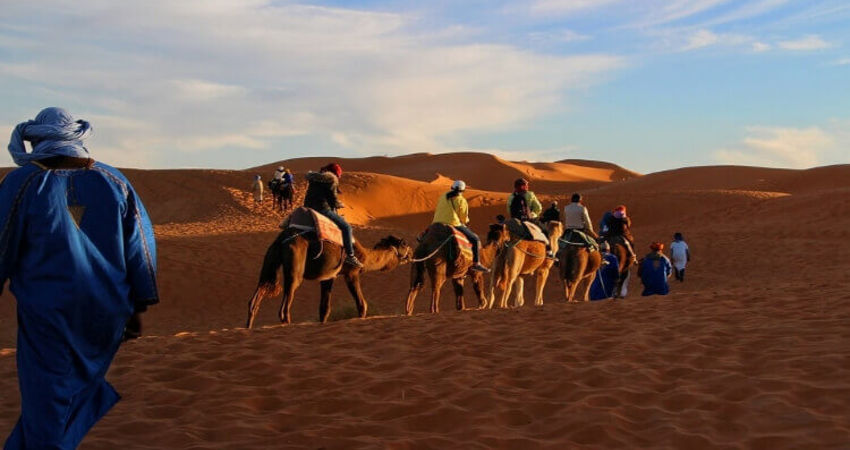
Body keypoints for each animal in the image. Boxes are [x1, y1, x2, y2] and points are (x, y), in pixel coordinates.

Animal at [245, 229, 410, 326]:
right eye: (404, 244)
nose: (411, 253)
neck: (364, 256)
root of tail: (281, 240)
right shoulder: (351, 273)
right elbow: (362, 304)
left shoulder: (328, 276)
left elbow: (324, 308)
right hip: (295, 263)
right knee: (285, 304)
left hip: (270, 260)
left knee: (257, 294)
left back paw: (249, 327)